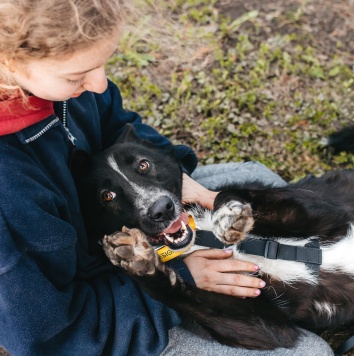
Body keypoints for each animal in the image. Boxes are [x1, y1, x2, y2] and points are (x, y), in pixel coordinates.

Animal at [72, 124, 354, 350]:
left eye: (143, 164)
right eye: (107, 196)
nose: (162, 209)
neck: (201, 236)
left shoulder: (322, 211)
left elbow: (227, 194)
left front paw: (229, 214)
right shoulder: (268, 327)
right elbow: (176, 294)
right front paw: (137, 260)